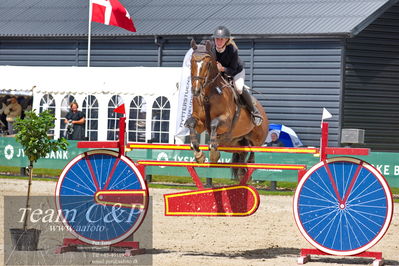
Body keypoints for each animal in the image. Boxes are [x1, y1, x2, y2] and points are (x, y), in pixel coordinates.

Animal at [186, 39, 270, 179]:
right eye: (191, 62)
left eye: (208, 64)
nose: (196, 91)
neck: (208, 94)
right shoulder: (200, 122)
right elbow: (191, 123)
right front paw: (199, 155)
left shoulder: (226, 121)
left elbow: (214, 123)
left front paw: (213, 153)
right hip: (232, 143)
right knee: (242, 153)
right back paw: (241, 173)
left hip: (257, 139)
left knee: (252, 151)